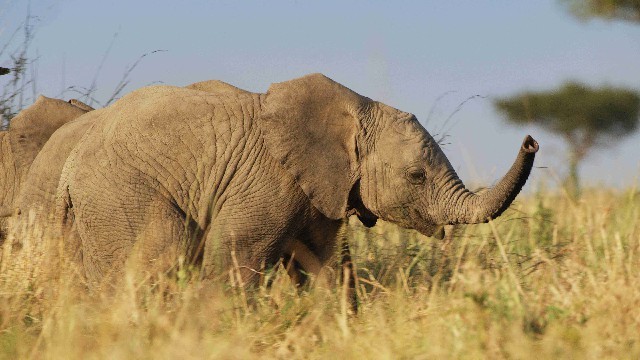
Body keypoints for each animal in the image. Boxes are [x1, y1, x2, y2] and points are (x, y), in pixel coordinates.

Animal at [46, 74, 536, 292]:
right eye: (416, 176)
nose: (531, 140)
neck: (355, 106)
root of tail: (68, 171)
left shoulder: (322, 192)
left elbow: (323, 265)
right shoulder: (265, 182)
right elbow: (235, 258)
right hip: (122, 197)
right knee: (159, 258)